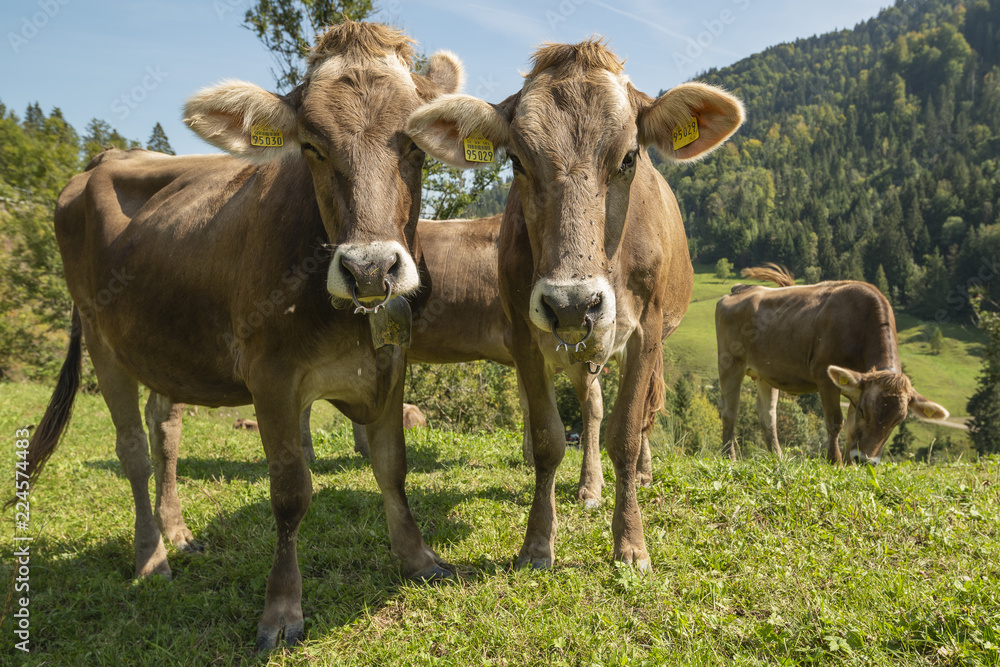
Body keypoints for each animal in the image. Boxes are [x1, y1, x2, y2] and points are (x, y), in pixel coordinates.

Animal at [18, 23, 464, 648]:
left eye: (415, 148)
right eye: (311, 147)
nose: (371, 269)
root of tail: (105, 157)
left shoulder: (391, 361)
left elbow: (393, 467)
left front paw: (419, 559)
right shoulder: (271, 378)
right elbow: (291, 494)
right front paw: (281, 611)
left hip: (166, 343)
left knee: (165, 432)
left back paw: (178, 531)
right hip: (102, 337)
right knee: (132, 450)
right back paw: (151, 557)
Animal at [406, 40, 744, 576]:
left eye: (629, 157)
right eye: (517, 161)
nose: (572, 302)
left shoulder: (646, 331)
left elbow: (626, 433)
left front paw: (631, 544)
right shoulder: (524, 332)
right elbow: (548, 435)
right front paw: (537, 544)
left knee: (641, 414)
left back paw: (639, 475)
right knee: (592, 406)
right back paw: (589, 486)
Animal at [716, 264, 948, 464]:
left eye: (897, 421)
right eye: (864, 411)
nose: (865, 460)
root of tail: (742, 289)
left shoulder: (857, 388)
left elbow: (851, 429)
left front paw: (849, 464)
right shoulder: (824, 376)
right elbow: (835, 422)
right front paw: (834, 462)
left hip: (766, 372)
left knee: (768, 416)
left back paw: (778, 458)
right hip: (730, 362)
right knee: (730, 411)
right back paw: (729, 457)